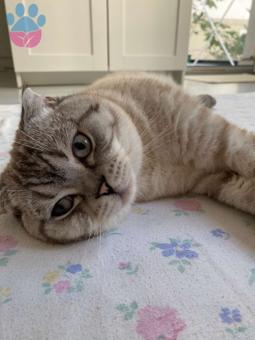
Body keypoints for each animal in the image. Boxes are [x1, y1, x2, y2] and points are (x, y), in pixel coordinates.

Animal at [0, 71, 254, 243]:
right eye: (62, 206)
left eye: (80, 145)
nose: (105, 187)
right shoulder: (219, 181)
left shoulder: (222, 138)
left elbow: (247, 155)